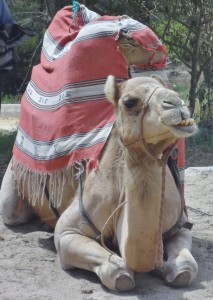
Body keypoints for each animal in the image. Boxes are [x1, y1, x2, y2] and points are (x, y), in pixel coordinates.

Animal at [0, 74, 198, 290]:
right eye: (129, 102)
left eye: (173, 90)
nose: (176, 103)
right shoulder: (67, 231)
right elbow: (117, 270)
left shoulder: (180, 226)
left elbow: (187, 267)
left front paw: (165, 267)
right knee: (12, 212)